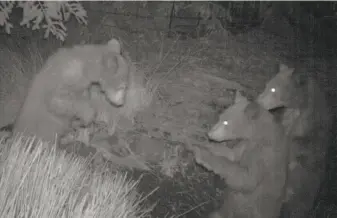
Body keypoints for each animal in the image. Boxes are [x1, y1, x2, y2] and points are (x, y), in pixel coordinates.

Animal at [194, 90, 288, 218]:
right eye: (220, 118)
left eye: (226, 123)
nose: (209, 134)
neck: (258, 134)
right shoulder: (245, 145)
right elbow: (232, 154)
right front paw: (201, 143)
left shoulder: (263, 155)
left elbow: (246, 179)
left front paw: (202, 155)